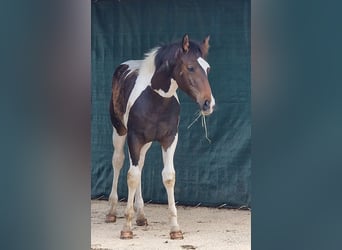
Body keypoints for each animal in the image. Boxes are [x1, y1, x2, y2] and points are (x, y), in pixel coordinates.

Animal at [105, 34, 215, 239]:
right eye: (190, 67)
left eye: (208, 68)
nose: (208, 103)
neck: (155, 100)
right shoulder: (134, 138)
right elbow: (131, 176)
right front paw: (126, 228)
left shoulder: (170, 139)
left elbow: (168, 176)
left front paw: (175, 229)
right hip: (119, 132)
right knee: (118, 161)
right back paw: (111, 212)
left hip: (145, 143)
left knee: (140, 165)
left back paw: (141, 215)